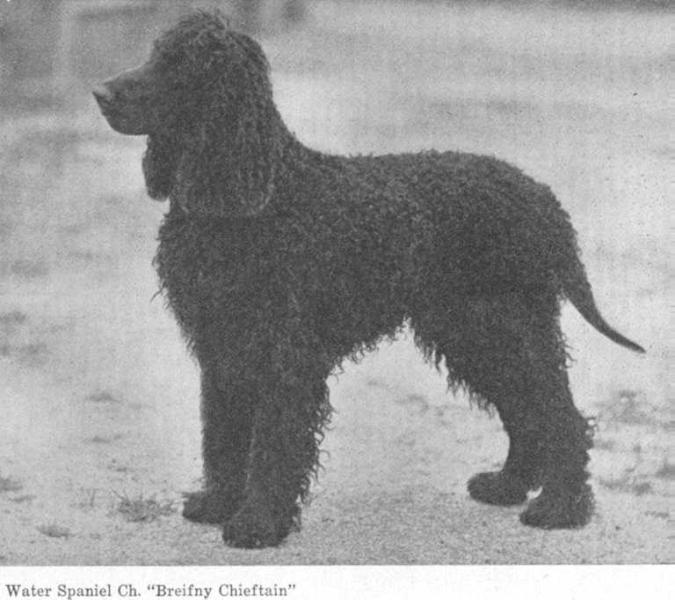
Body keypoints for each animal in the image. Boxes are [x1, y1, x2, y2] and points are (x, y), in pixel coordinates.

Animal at [93, 12, 644, 548]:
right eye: (154, 52)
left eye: (180, 64)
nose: (100, 93)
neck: (257, 194)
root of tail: (543, 197)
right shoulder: (223, 347)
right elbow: (223, 433)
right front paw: (218, 503)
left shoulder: (283, 356)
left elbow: (271, 442)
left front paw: (258, 523)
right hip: (470, 331)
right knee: (527, 412)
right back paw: (507, 486)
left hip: (505, 325)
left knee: (560, 416)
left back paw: (561, 509)